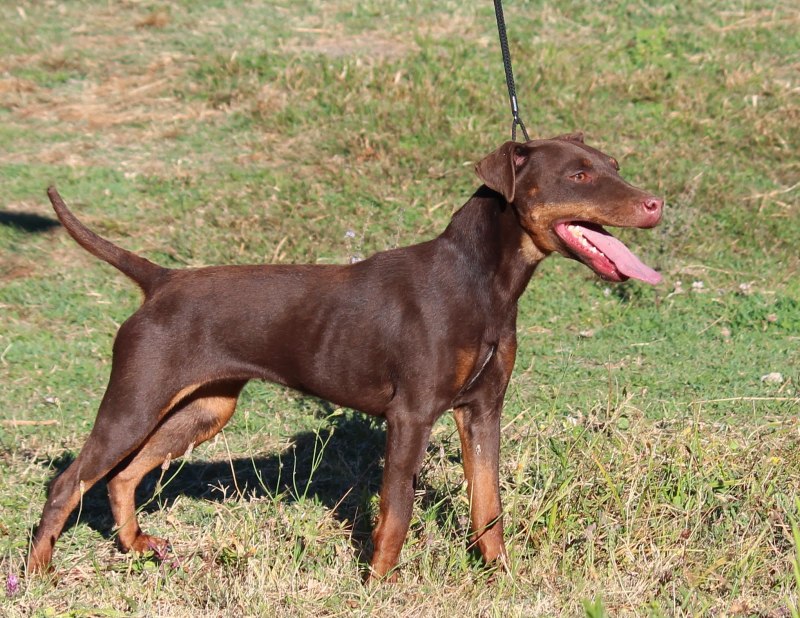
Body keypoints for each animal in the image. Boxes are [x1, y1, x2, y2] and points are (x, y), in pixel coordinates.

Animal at [27, 133, 662, 580]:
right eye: (578, 175)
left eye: (614, 164)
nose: (656, 204)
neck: (483, 281)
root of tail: (159, 282)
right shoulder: (411, 415)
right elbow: (397, 509)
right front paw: (379, 584)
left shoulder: (482, 411)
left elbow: (489, 505)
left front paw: (501, 578)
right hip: (135, 401)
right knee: (68, 482)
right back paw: (38, 574)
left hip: (205, 409)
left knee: (123, 475)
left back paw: (137, 547)